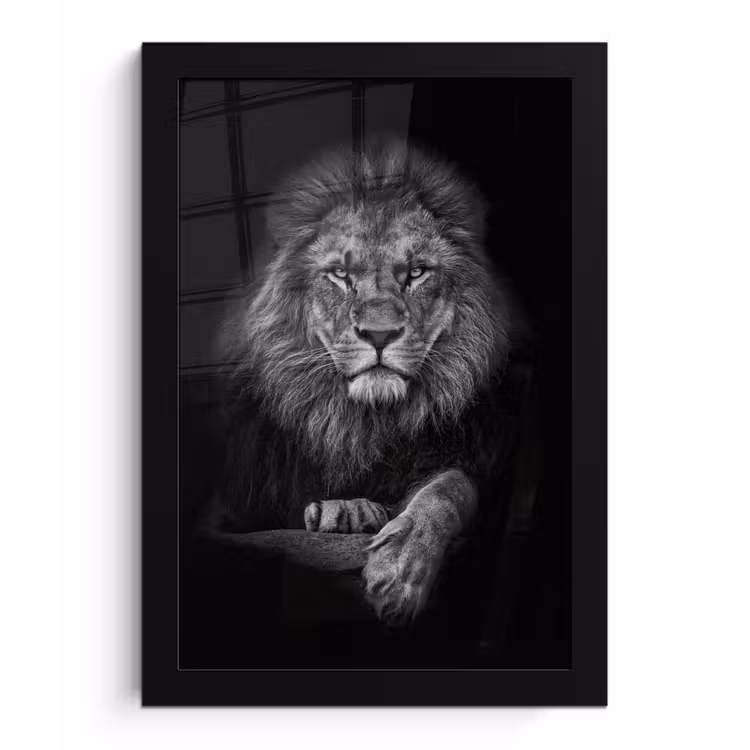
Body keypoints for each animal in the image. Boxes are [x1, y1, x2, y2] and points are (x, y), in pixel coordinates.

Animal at [211, 140, 515, 625]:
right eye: (340, 275)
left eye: (416, 272)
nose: (379, 334)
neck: (363, 420)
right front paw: (345, 509)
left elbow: (448, 489)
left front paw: (401, 568)